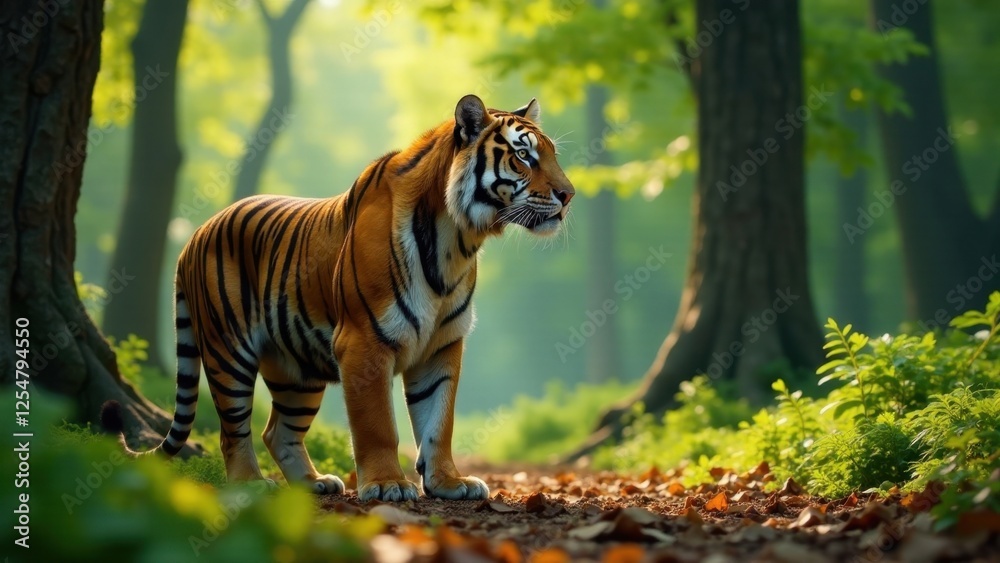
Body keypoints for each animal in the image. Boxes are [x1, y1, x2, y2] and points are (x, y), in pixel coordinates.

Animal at [102, 95, 575, 501]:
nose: (568, 195)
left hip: (298, 370)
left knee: (278, 431)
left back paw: (314, 483)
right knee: (232, 429)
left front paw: (448, 483)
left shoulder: (442, 346)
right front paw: (387, 485)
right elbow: (378, 424)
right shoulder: (364, 341)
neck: (457, 240)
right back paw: (251, 484)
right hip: (227, 351)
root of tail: (194, 235)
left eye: (553, 154)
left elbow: (440, 421)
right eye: (524, 156)